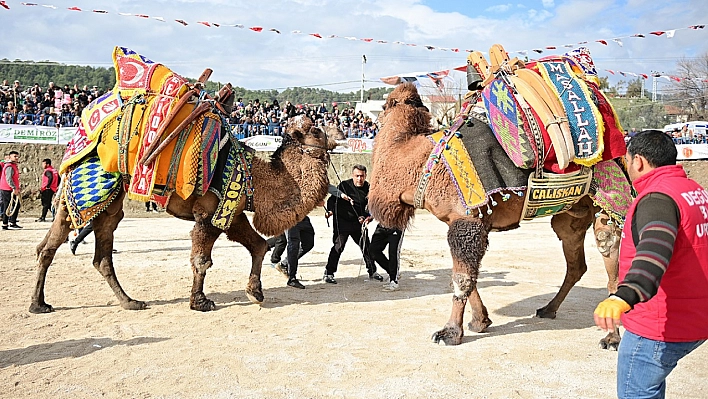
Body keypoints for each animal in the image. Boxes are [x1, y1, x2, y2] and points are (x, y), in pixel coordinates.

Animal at [29, 115, 334, 316]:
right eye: (317, 130)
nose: (339, 133)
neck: (254, 177)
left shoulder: (231, 213)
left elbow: (259, 245)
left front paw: (255, 292)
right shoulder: (209, 214)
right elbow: (202, 260)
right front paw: (200, 302)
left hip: (108, 203)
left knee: (96, 253)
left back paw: (129, 302)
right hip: (85, 193)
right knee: (53, 245)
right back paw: (38, 305)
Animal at [368, 83, 624, 346]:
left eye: (384, 107)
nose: (375, 119)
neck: (422, 163)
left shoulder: (466, 220)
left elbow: (462, 278)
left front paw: (450, 332)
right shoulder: (465, 224)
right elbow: (467, 276)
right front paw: (480, 321)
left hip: (607, 201)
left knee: (609, 254)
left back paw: (611, 338)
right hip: (570, 214)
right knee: (576, 263)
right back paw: (548, 309)